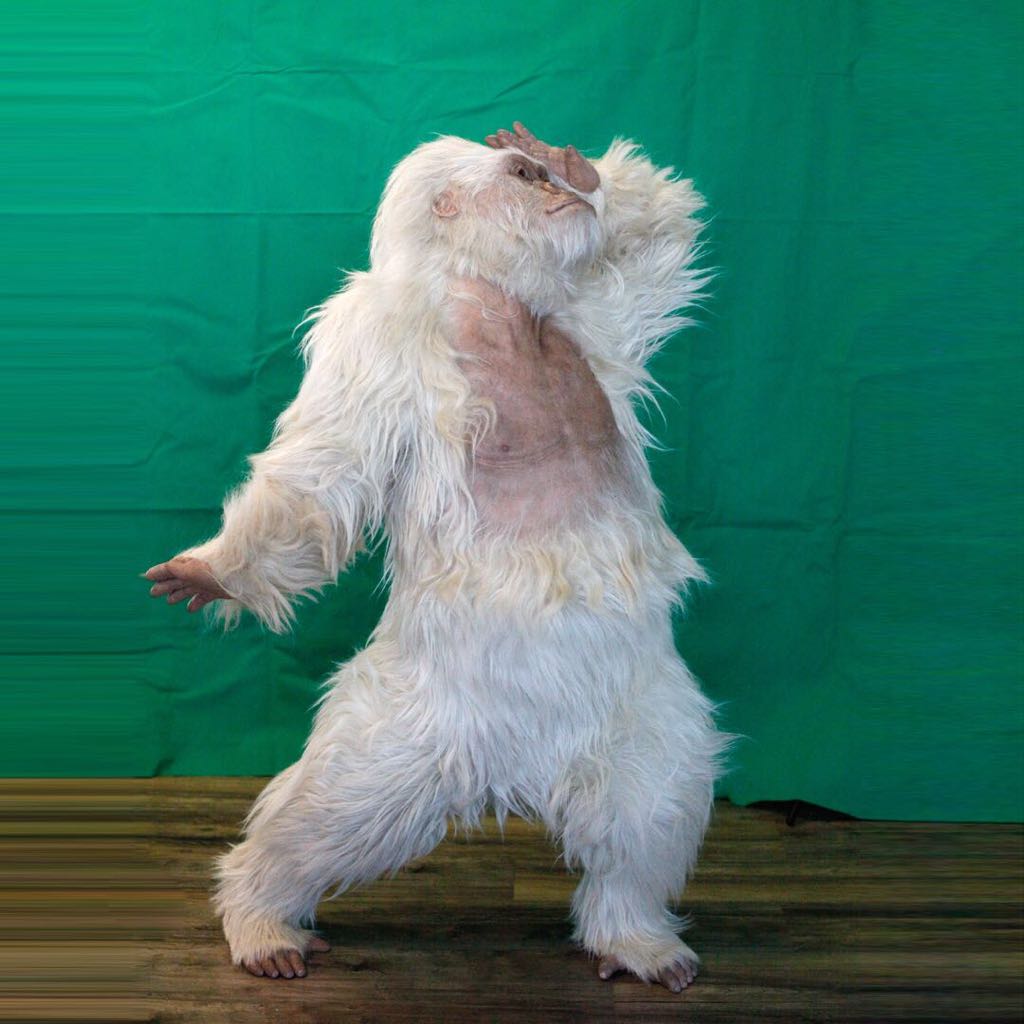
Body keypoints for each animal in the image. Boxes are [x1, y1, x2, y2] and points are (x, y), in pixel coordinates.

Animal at [145, 123, 726, 993]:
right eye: (519, 179)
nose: (557, 185)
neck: (489, 301)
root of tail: (519, 774)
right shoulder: (370, 340)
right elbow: (321, 473)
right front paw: (212, 572)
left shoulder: (600, 314)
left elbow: (657, 246)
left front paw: (593, 174)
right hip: (390, 748)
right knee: (312, 820)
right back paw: (259, 919)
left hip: (644, 738)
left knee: (641, 823)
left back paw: (635, 938)